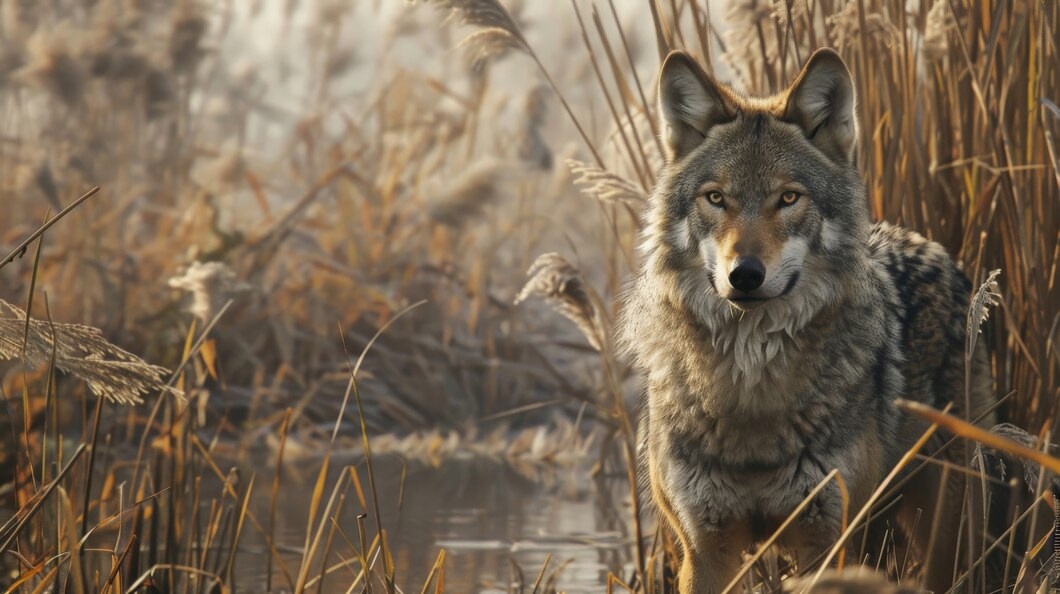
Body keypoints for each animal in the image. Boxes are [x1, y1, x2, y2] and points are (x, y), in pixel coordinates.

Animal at [619, 47, 996, 594]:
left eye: (789, 198)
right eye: (716, 198)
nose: (744, 274)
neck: (751, 394)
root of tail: (931, 245)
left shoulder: (826, 543)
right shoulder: (704, 550)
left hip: (945, 530)